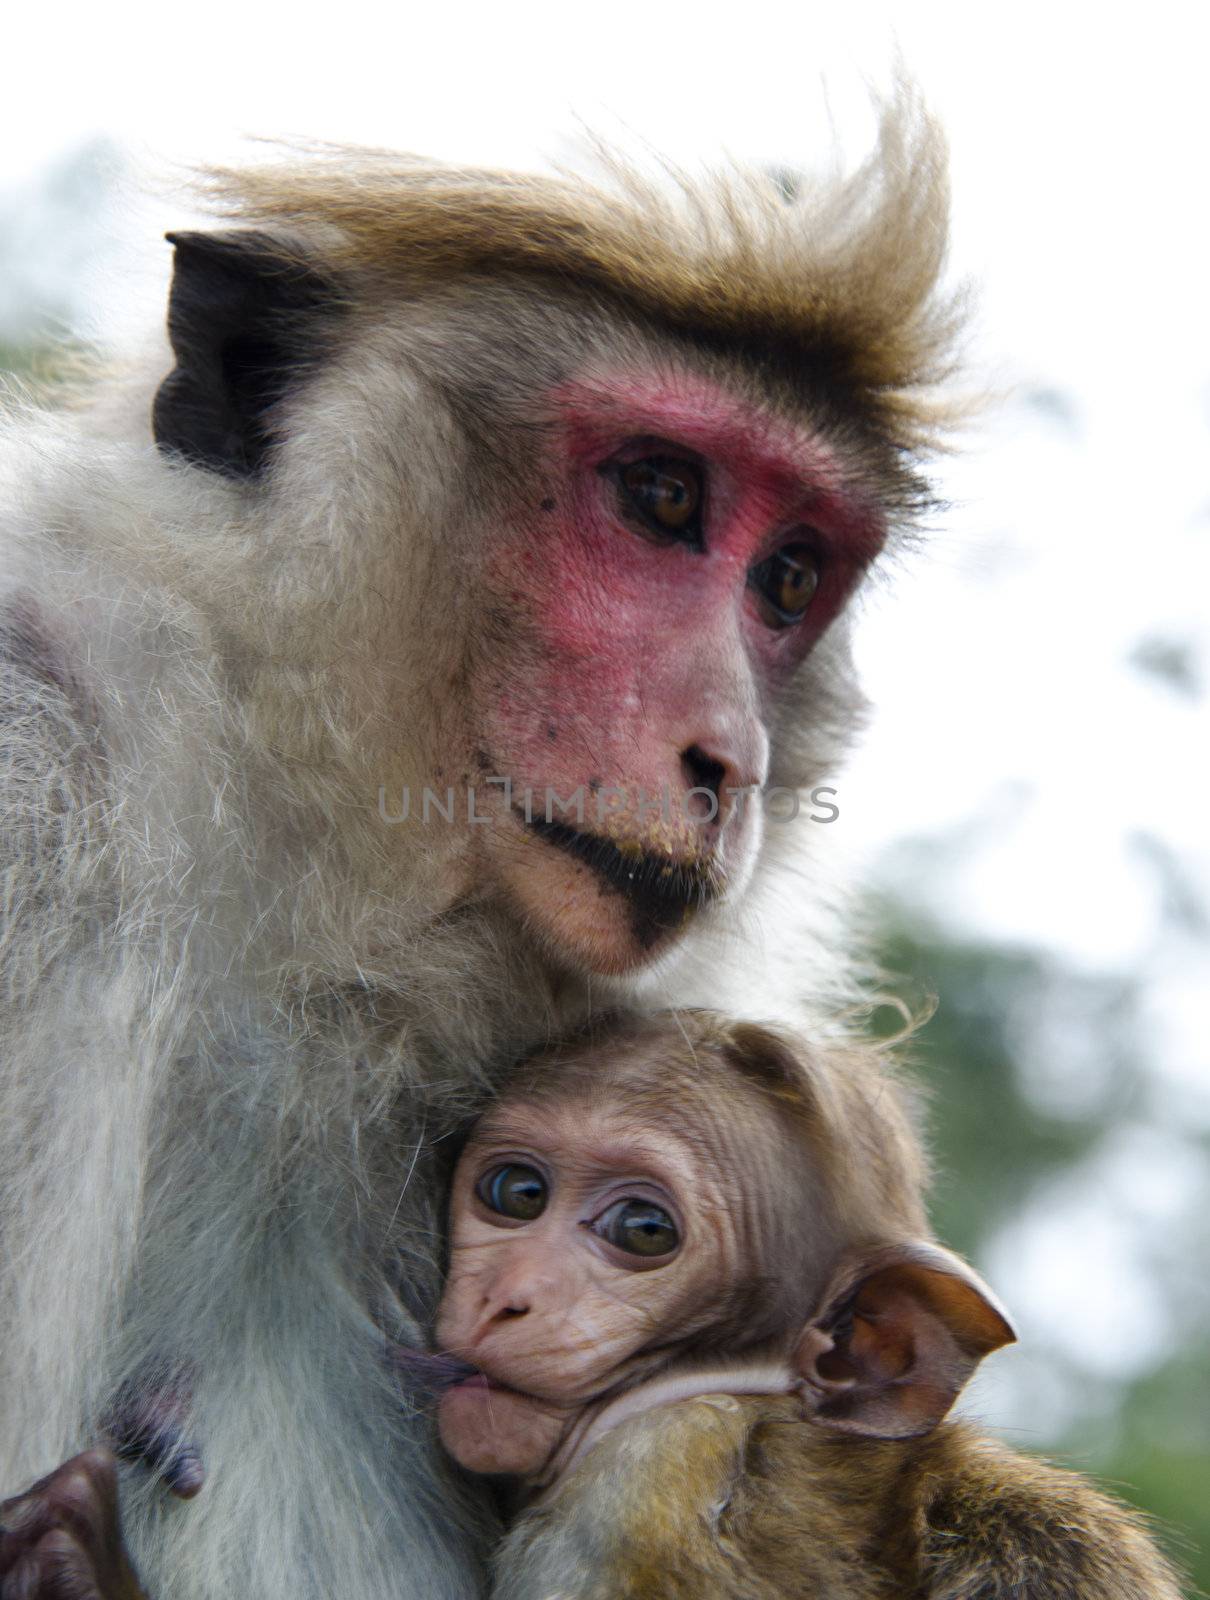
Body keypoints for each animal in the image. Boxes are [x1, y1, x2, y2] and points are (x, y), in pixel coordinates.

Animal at [0, 1017, 1184, 1593]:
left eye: (642, 1231)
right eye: (515, 1193)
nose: (507, 1299)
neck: (726, 1389)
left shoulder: (649, 1491)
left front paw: (84, 1573)